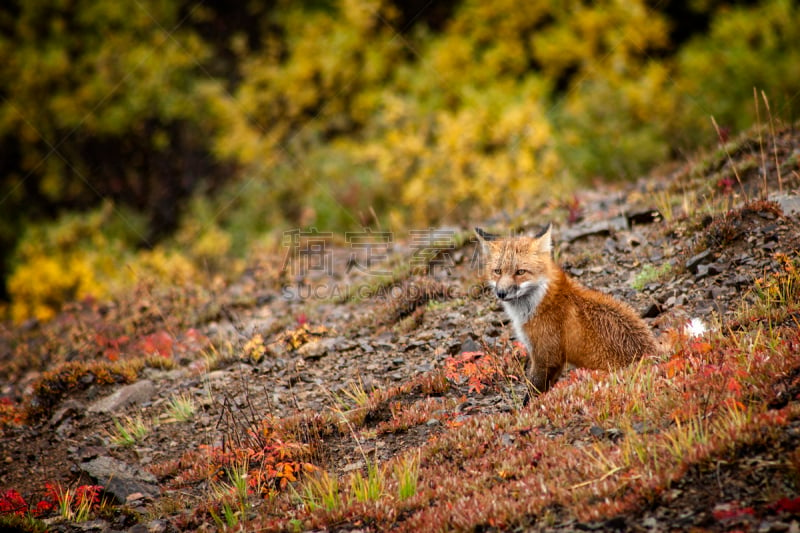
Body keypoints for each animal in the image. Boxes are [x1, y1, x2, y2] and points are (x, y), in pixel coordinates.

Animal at [476, 224, 656, 400]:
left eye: (520, 272)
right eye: (497, 271)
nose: (501, 293)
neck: (541, 301)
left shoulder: (546, 356)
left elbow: (532, 395)